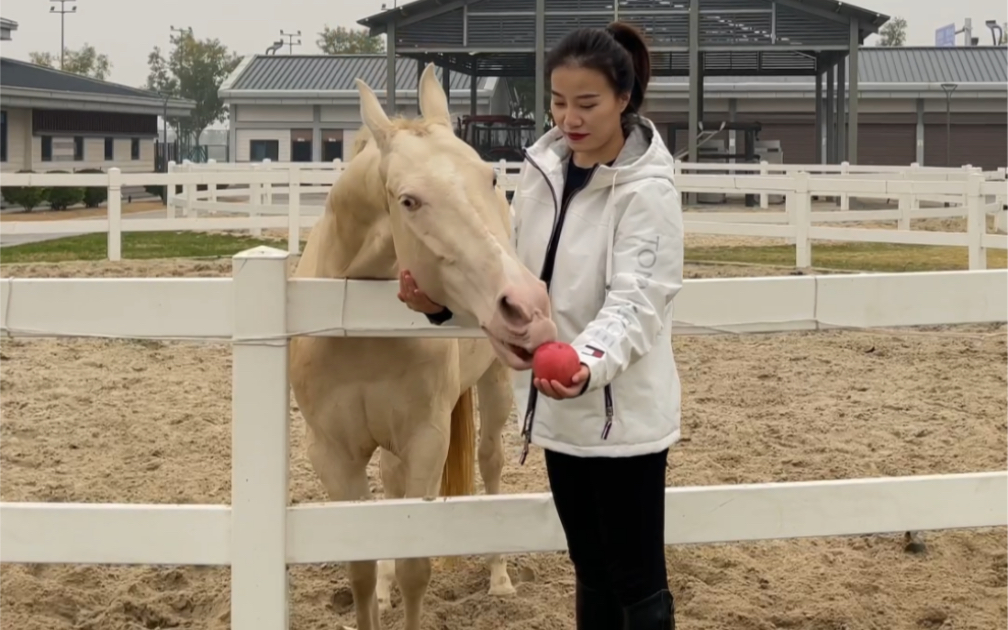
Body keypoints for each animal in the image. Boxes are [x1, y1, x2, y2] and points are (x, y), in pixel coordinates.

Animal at [290, 64, 560, 628]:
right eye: (409, 201)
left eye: (490, 177)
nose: (526, 305)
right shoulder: (333, 453)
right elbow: (362, 567)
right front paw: (378, 591)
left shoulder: (425, 440)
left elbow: (416, 565)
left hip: (493, 388)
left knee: (490, 463)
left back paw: (499, 577)